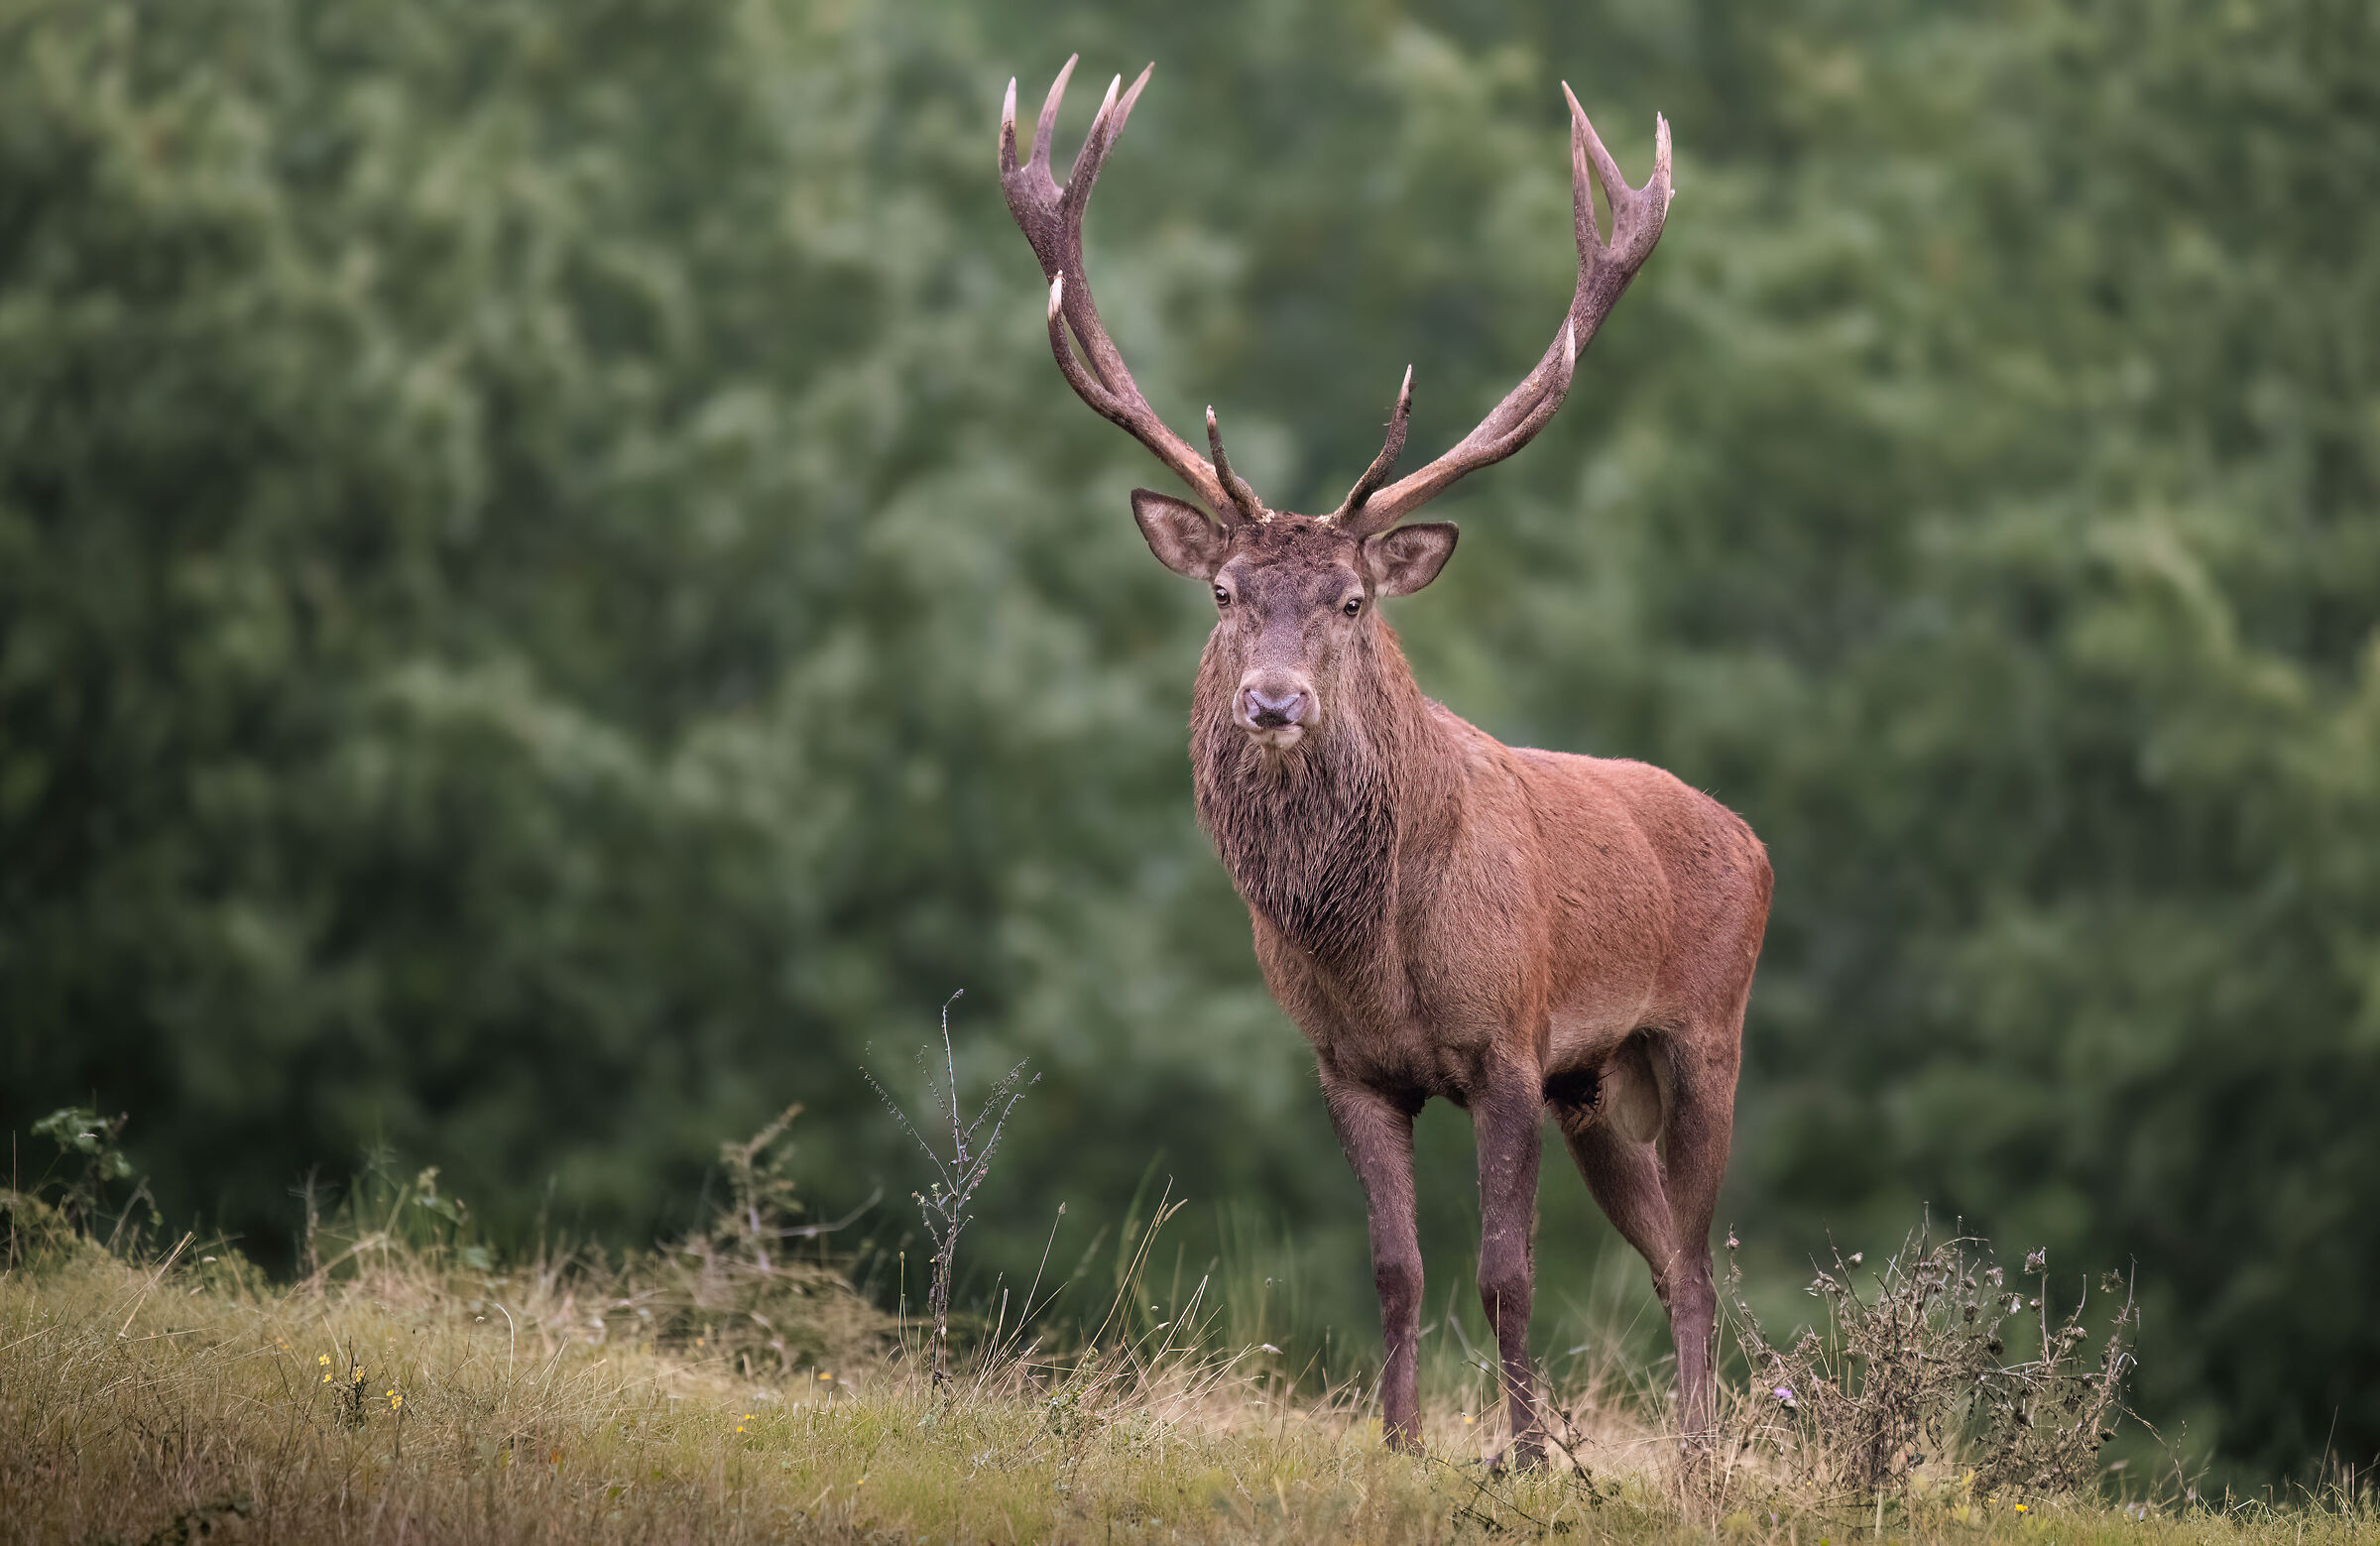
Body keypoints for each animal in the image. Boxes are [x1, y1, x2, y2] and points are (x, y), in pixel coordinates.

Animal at [998, 57, 1770, 1468]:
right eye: (1227, 592)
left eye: (1354, 600)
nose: (1273, 701)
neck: (1378, 942)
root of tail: (1749, 837)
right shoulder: (1350, 1065)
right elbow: (1397, 1268)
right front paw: (1402, 1443)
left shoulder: (1510, 1042)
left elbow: (1507, 1271)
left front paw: (1525, 1458)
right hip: (1598, 1085)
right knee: (1667, 1256)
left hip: (1702, 1033)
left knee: (1695, 1255)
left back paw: (1695, 1466)